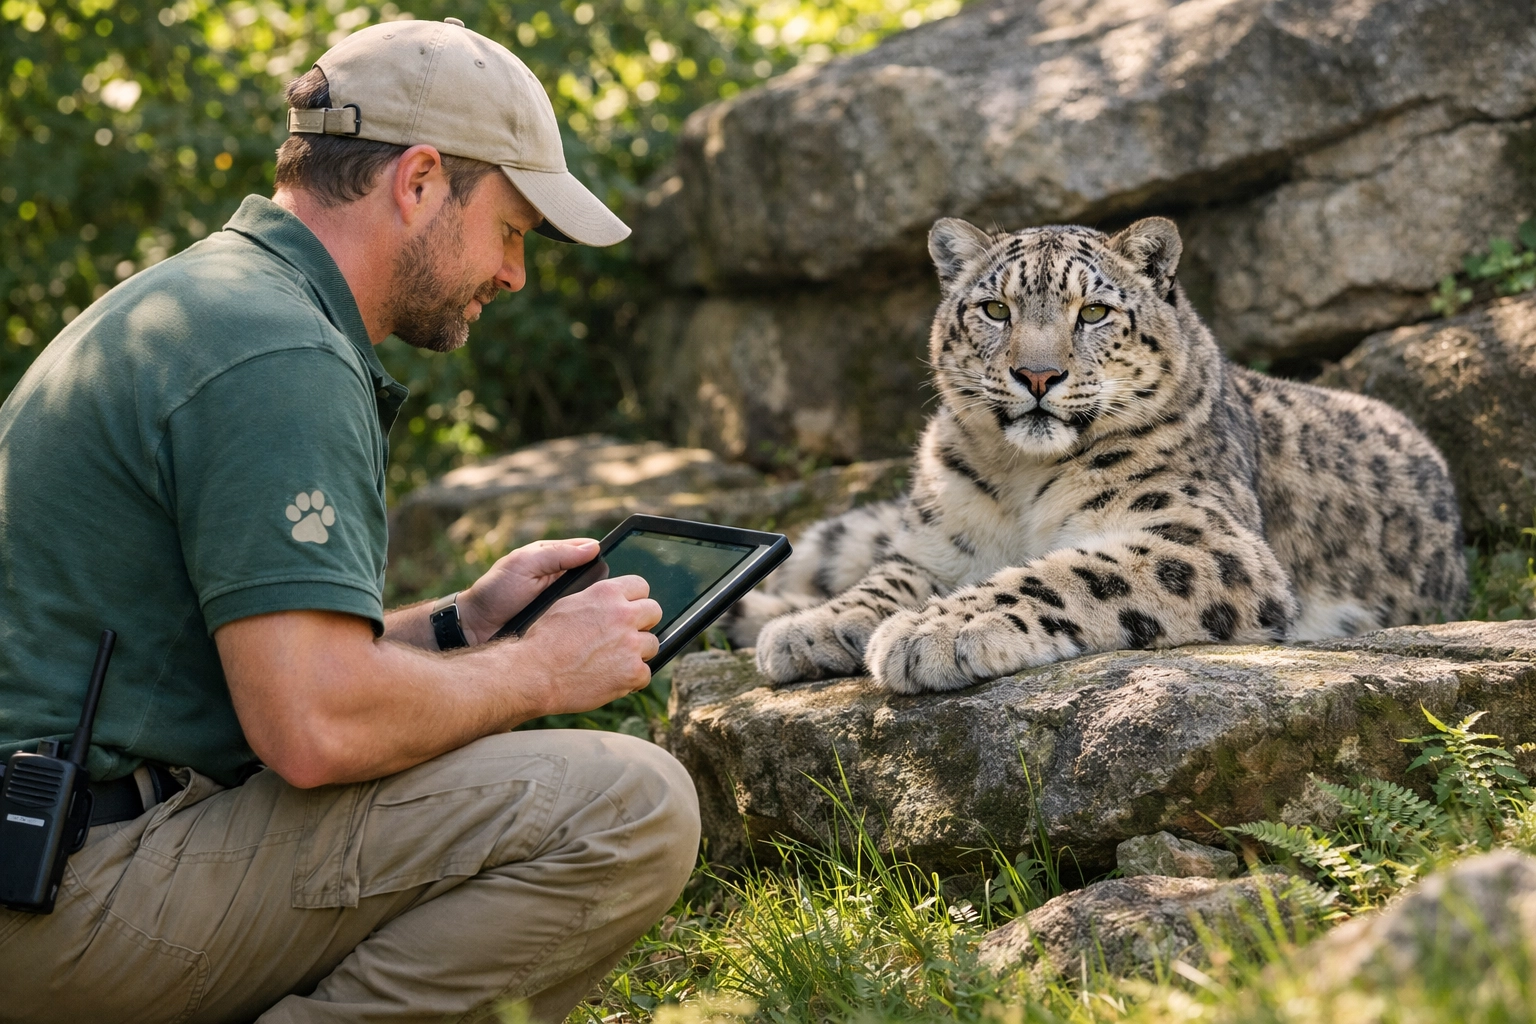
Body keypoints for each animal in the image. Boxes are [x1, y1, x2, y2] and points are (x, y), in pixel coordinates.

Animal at [724, 216, 1467, 694]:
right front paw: (812, 627)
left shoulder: (1203, 537)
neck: (1018, 479)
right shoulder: (939, 546)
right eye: (995, 309)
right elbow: (884, 579)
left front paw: (935, 631)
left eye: (1093, 313)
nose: (1038, 375)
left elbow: (1067, 572)